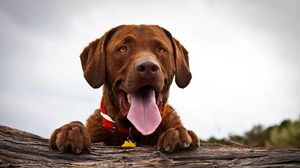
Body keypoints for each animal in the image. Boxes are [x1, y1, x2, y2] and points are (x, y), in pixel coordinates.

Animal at [49, 24, 199, 153]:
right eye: (122, 48)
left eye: (161, 49)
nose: (148, 67)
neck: (132, 130)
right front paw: (71, 130)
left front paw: (176, 133)